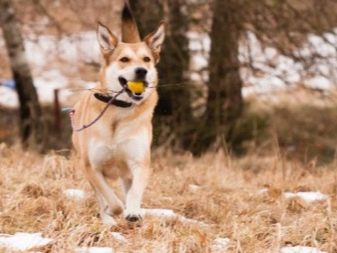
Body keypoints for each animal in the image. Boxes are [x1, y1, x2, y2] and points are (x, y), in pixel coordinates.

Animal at [71, 2, 165, 224]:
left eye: (146, 59)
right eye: (124, 59)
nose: (141, 70)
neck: (119, 110)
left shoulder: (139, 163)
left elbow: (134, 192)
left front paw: (133, 211)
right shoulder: (91, 167)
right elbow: (109, 199)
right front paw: (114, 213)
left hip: (127, 172)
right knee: (101, 197)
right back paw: (108, 220)